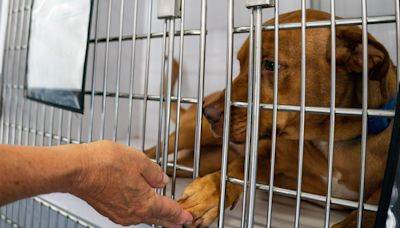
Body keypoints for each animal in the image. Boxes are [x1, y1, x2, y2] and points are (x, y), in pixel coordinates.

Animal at [145, 9, 396, 227]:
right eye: (240, 63)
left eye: (271, 65)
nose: (208, 113)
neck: (332, 139)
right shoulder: (268, 152)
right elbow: (239, 167)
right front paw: (209, 194)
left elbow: (372, 207)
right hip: (187, 134)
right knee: (152, 152)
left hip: (199, 161)